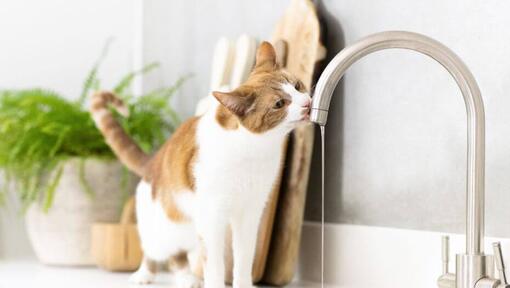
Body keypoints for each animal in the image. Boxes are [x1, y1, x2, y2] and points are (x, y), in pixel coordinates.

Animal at [89, 41, 310, 288]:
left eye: (297, 86)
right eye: (279, 104)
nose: (307, 103)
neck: (253, 149)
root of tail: (153, 160)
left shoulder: (250, 212)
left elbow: (244, 259)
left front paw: (243, 284)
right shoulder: (212, 216)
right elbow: (214, 263)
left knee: (178, 256)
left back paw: (187, 278)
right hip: (164, 226)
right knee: (155, 250)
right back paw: (145, 274)